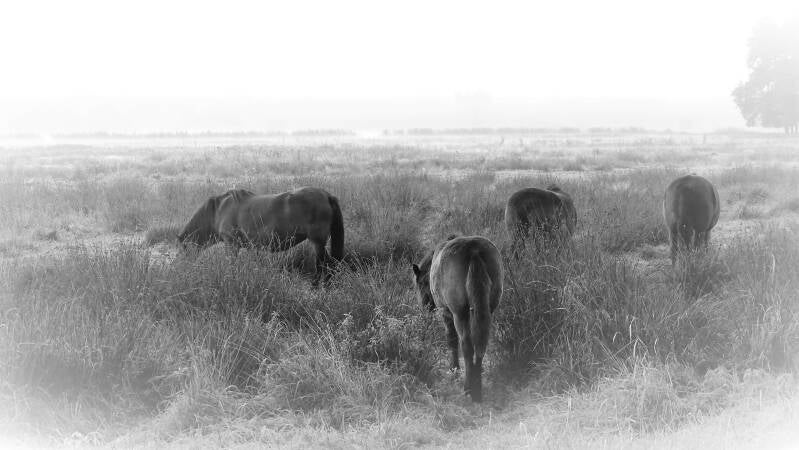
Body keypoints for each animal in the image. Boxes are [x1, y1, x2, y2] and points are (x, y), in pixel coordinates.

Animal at [177, 186, 344, 284]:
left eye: (183, 249)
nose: (183, 271)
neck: (218, 210)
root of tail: (326, 195)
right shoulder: (251, 246)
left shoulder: (231, 244)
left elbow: (232, 265)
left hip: (318, 243)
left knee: (324, 265)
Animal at [412, 235, 503, 402]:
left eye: (421, 283)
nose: (424, 307)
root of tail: (474, 250)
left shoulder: (446, 314)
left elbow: (452, 340)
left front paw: (454, 368)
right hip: (486, 310)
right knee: (480, 343)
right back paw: (477, 385)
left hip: (459, 314)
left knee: (466, 344)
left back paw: (469, 388)